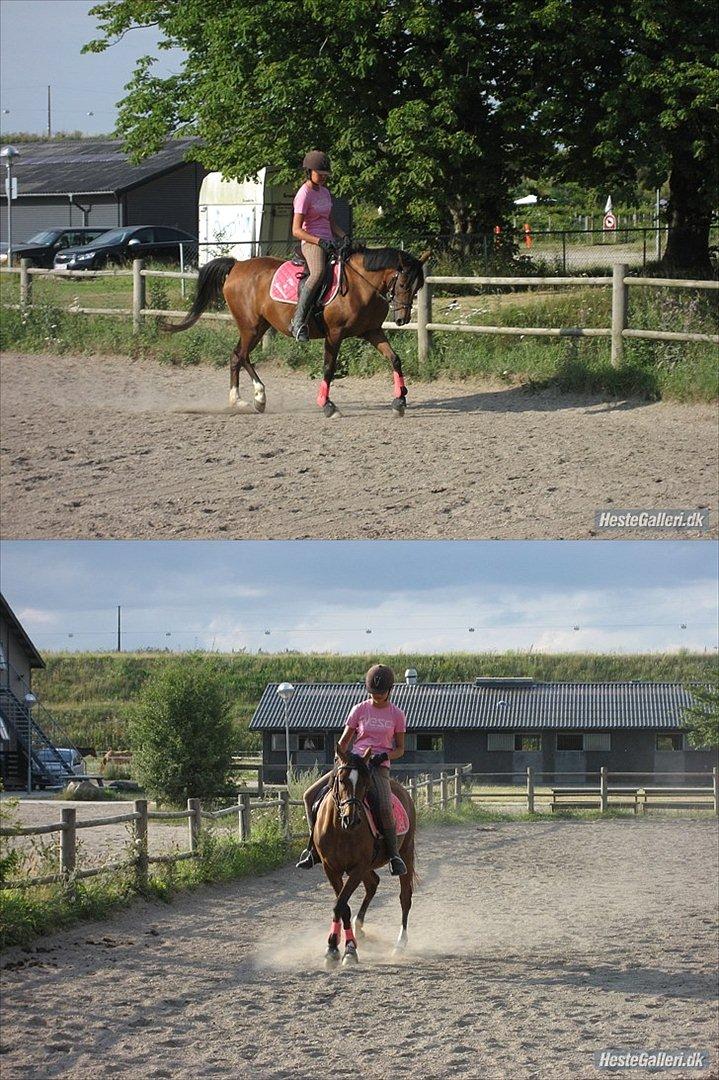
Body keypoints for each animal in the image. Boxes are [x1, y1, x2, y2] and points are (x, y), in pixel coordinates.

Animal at [165, 246, 427, 416]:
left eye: (418, 287)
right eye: (403, 283)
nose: (402, 319)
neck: (361, 285)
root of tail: (238, 265)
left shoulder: (371, 331)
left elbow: (395, 359)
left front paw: (400, 399)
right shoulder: (335, 334)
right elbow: (329, 367)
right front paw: (327, 405)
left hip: (260, 326)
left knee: (239, 356)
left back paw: (253, 399)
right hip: (250, 326)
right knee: (239, 355)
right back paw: (246, 399)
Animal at [313, 751, 414, 972]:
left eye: (365, 784)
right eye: (341, 779)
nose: (351, 819)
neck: (340, 830)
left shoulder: (358, 868)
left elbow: (340, 904)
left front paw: (346, 950)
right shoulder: (330, 868)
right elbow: (343, 906)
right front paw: (337, 947)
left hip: (406, 852)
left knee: (405, 897)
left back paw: (400, 944)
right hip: (368, 866)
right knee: (373, 883)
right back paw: (359, 928)